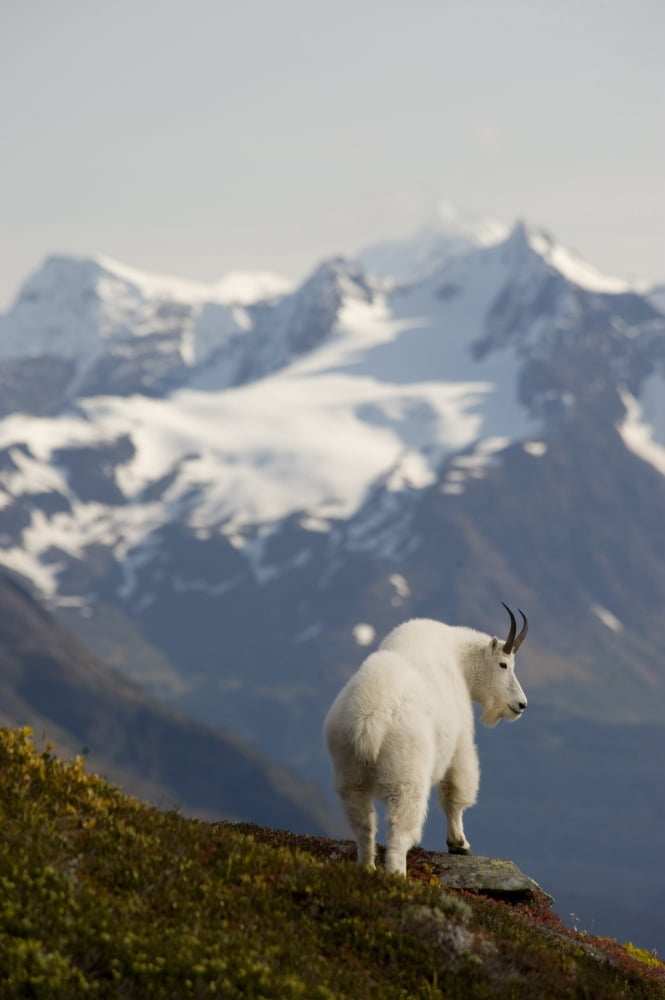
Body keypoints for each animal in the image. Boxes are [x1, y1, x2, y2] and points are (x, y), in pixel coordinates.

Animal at [323, 603, 528, 875]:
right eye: (504, 664)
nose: (521, 704)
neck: (458, 659)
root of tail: (369, 722)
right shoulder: (461, 740)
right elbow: (455, 793)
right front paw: (459, 844)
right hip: (406, 774)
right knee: (400, 829)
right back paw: (398, 875)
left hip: (349, 770)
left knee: (363, 824)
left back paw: (368, 868)